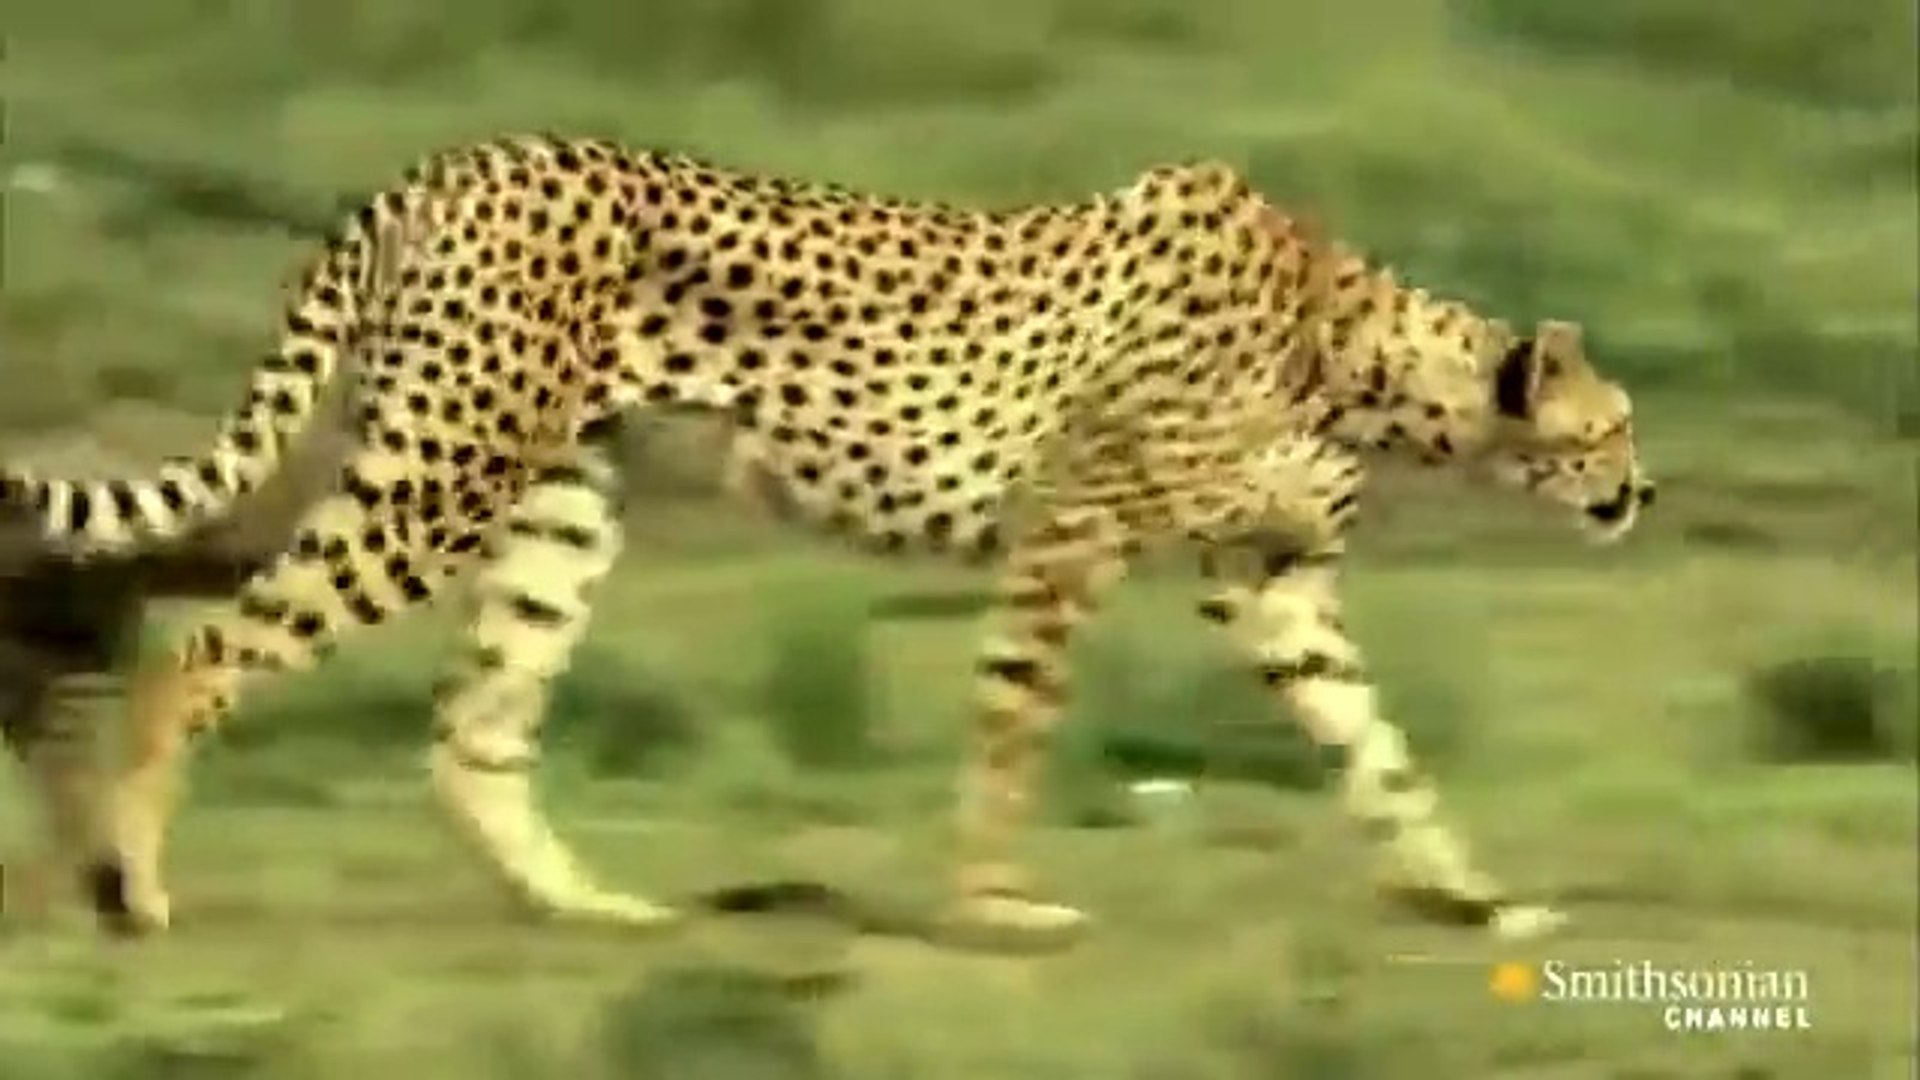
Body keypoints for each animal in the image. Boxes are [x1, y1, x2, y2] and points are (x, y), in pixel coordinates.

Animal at [0, 133, 1655, 944]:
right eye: (1612, 428)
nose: (1642, 494)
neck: (1357, 343)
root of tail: (456, 162)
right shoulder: (1071, 539)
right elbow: (1011, 733)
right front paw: (994, 908)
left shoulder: (1272, 586)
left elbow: (1380, 753)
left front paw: (1477, 898)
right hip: (438, 476)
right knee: (206, 647)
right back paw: (130, 885)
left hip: (559, 508)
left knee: (475, 729)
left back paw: (588, 908)